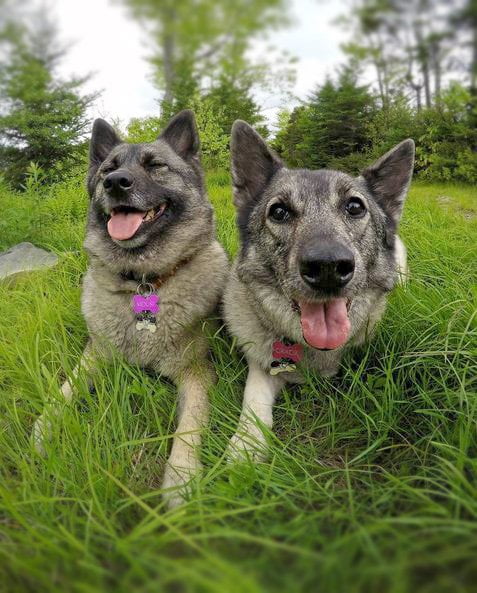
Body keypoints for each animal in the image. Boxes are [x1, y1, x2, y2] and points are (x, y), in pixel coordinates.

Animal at [33, 111, 227, 504]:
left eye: (155, 166)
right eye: (109, 168)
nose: (115, 183)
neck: (144, 281)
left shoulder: (196, 374)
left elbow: (189, 426)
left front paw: (181, 479)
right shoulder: (94, 355)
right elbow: (63, 392)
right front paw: (44, 428)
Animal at [223, 118, 412, 456]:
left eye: (354, 207)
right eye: (279, 212)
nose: (327, 267)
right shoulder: (262, 365)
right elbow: (253, 399)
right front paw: (244, 447)